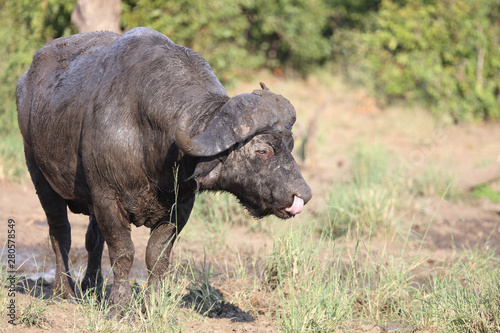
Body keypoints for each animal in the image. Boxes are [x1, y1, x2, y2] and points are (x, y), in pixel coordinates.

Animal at [15, 26, 310, 314]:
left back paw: (93, 286)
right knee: (60, 233)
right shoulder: (107, 197)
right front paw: (119, 306)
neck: (148, 138)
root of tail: (25, 81)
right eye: (262, 150)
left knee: (92, 239)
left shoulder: (180, 205)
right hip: (40, 177)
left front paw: (153, 305)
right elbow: (123, 252)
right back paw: (63, 291)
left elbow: (157, 256)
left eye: (291, 146)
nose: (303, 195)